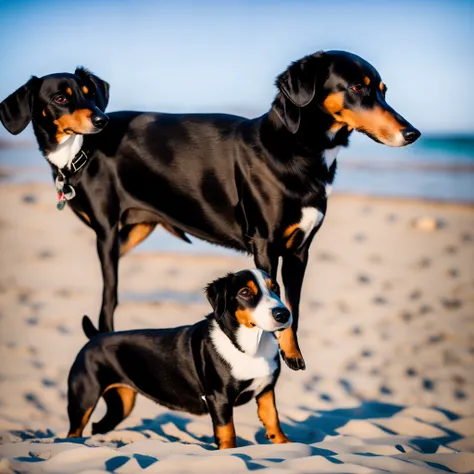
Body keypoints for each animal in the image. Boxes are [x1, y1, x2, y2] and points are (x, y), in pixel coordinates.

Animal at [0, 51, 422, 370]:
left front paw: (291, 353)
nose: (413, 133)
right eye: (356, 88)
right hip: (107, 236)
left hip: (131, 231)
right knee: (108, 304)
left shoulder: (300, 249)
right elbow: (273, 302)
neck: (298, 150)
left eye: (382, 90)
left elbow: (293, 307)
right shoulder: (266, 244)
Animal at [67, 268, 292, 450]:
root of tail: (96, 336)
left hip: (121, 404)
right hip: (84, 400)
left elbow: (273, 420)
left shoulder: (266, 390)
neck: (250, 346)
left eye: (275, 288)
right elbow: (227, 432)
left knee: (98, 426)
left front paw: (285, 445)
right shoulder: (219, 398)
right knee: (74, 432)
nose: (283, 314)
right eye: (245, 292)